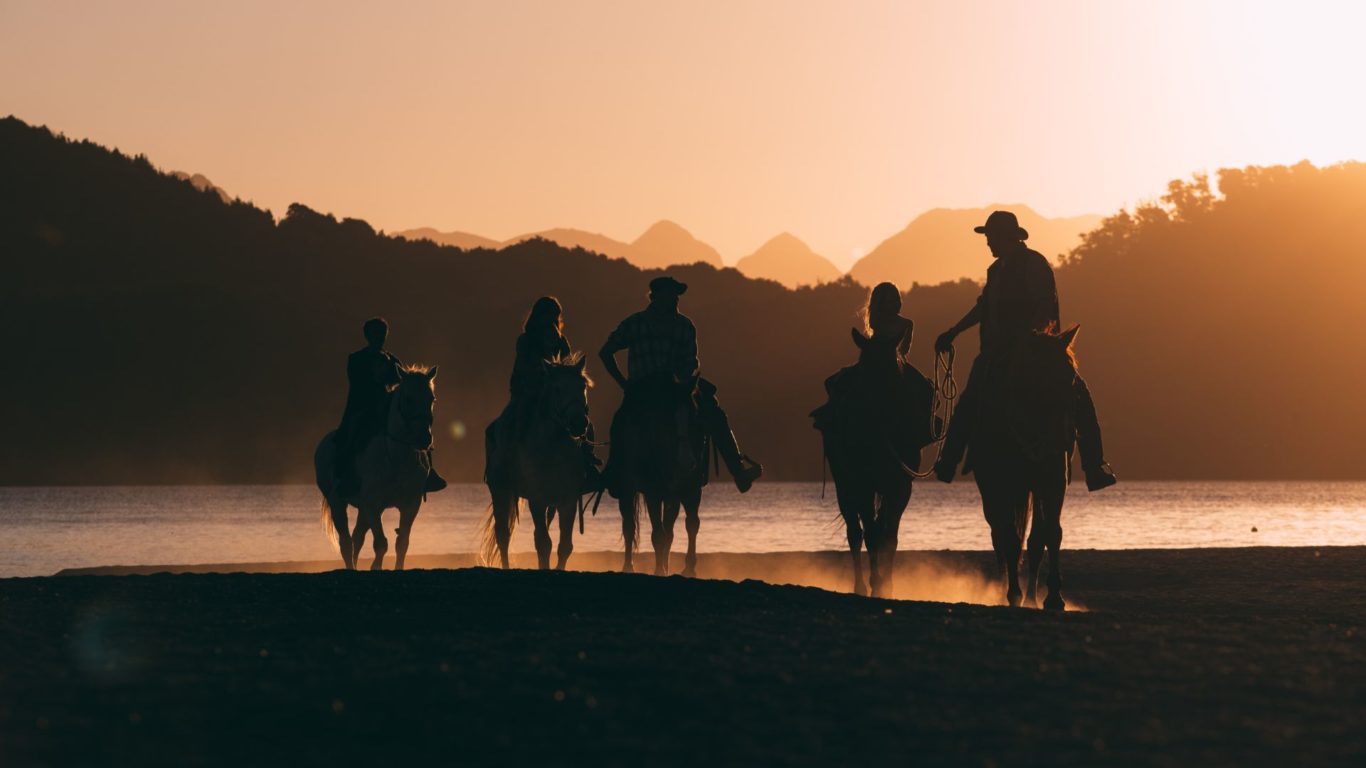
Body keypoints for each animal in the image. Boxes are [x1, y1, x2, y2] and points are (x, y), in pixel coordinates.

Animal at [314, 365, 438, 571]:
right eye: (408, 399)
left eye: (431, 398)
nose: (424, 438)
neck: (396, 459)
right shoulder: (373, 504)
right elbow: (381, 543)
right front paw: (375, 567)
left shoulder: (410, 505)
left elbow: (401, 543)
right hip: (337, 502)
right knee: (346, 542)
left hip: (363, 510)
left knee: (357, 538)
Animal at [481, 355, 594, 571]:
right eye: (557, 388)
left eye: (582, 386)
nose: (578, 423)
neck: (552, 450)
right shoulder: (537, 500)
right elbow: (543, 543)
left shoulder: (568, 500)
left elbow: (564, 545)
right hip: (501, 491)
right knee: (503, 536)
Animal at [609, 377, 707, 577]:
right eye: (668, 418)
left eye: (694, 415)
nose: (686, 462)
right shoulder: (653, 493)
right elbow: (658, 535)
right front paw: (659, 569)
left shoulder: (689, 490)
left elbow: (691, 525)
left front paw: (689, 567)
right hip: (626, 490)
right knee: (629, 527)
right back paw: (628, 566)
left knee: (668, 530)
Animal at [817, 329, 916, 598]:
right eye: (865, 370)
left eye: (893, 370)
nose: (875, 412)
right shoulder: (863, 484)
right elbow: (871, 534)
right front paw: (876, 584)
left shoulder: (900, 486)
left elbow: (889, 536)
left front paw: (887, 585)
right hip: (844, 484)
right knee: (855, 532)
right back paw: (860, 586)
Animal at [970, 326, 1079, 609]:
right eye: (1037, 380)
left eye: (1071, 378)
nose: (1064, 436)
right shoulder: (1004, 485)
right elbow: (1009, 538)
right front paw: (1013, 594)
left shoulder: (1052, 480)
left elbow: (1050, 533)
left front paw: (1054, 597)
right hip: (992, 492)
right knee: (998, 536)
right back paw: (1005, 591)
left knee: (1033, 539)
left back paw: (1031, 597)